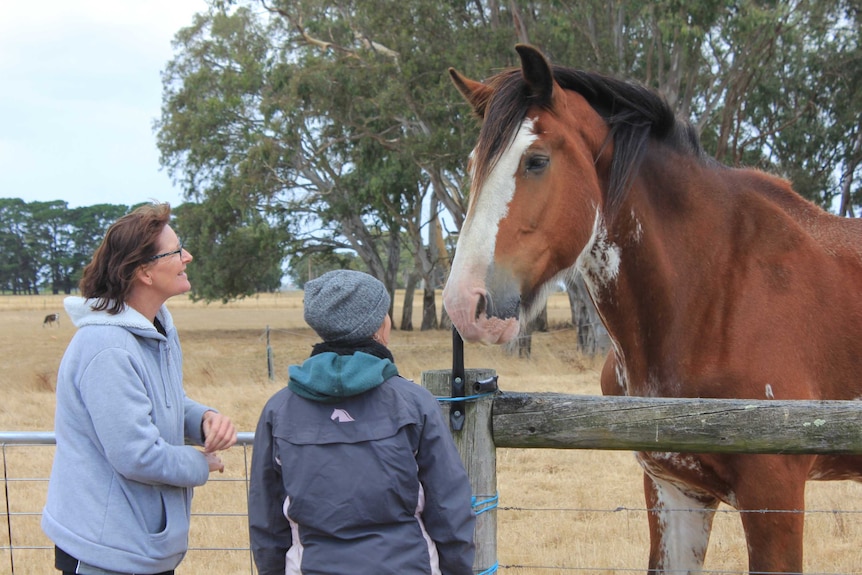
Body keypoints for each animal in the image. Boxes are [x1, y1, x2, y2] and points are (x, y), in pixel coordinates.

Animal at [442, 45, 862, 575]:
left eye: (536, 161)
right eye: (474, 164)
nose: (463, 303)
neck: (719, 291)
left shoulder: (775, 493)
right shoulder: (673, 489)